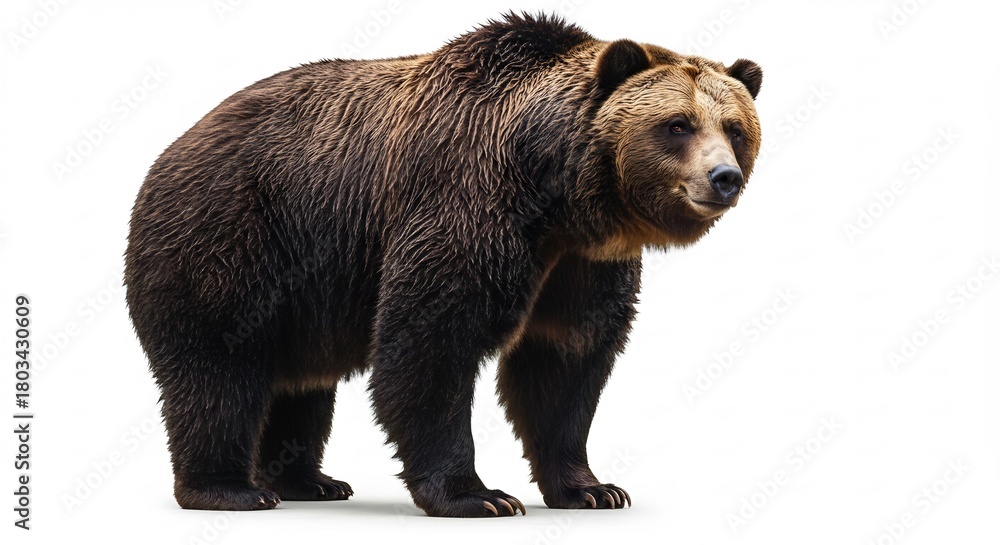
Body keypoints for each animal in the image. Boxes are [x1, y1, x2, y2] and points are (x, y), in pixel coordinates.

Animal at [125, 13, 762, 517]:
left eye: (735, 127)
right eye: (677, 124)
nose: (723, 178)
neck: (558, 195)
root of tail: (169, 152)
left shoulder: (581, 264)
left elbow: (563, 362)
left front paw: (594, 488)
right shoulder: (466, 203)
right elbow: (431, 344)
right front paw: (478, 495)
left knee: (301, 383)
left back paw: (311, 481)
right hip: (232, 240)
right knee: (218, 368)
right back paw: (231, 488)